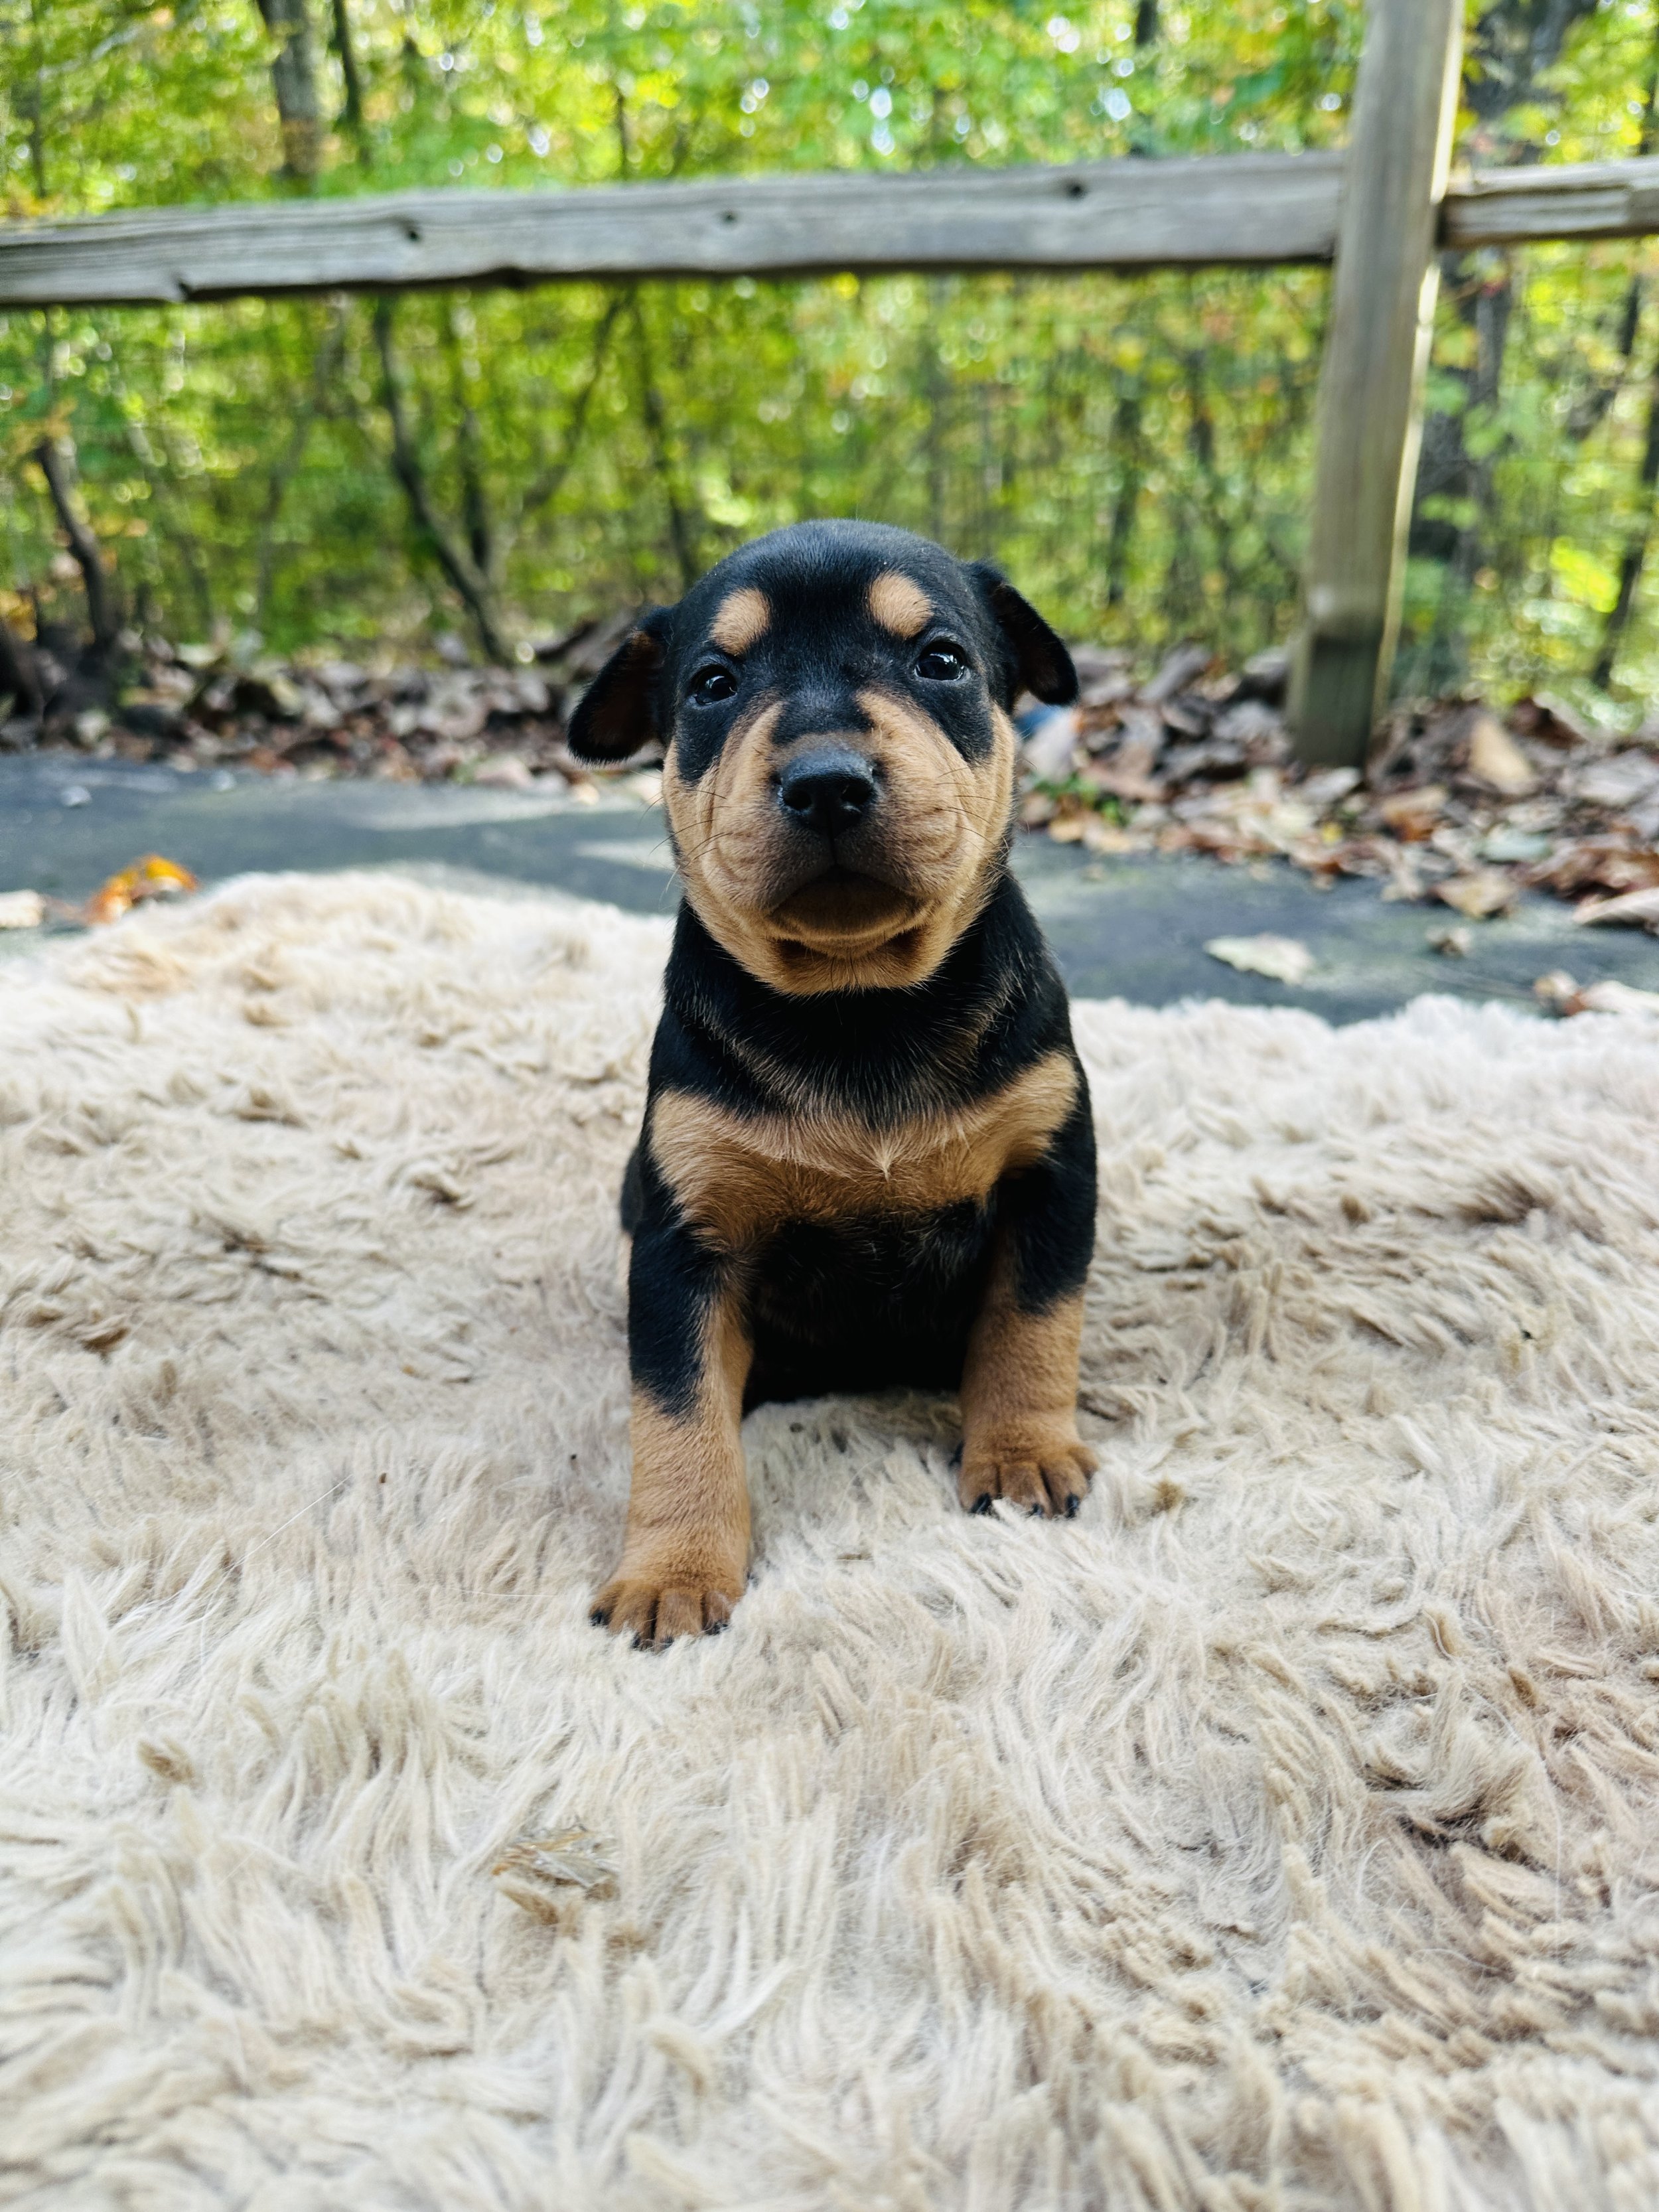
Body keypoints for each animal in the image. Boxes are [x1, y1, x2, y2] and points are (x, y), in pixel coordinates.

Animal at [567, 520, 1097, 1647]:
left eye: (940, 661)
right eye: (712, 685)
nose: (826, 781)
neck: (861, 1005)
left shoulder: (1050, 1168)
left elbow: (1033, 1324)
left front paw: (1021, 1455)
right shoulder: (683, 1239)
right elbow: (675, 1410)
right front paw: (673, 1571)